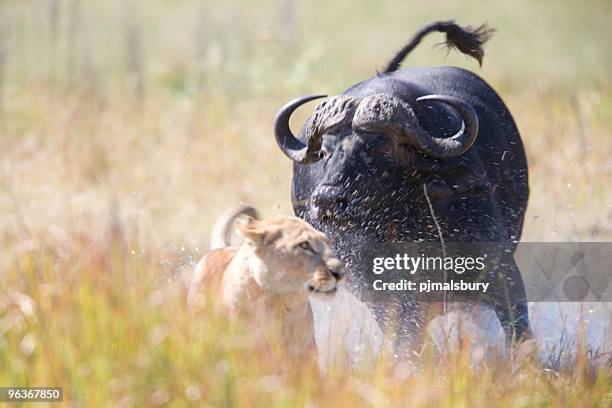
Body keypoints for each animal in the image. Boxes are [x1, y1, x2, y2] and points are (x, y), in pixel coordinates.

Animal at [272, 20, 532, 350]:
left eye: (381, 148)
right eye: (325, 151)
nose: (328, 199)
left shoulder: (500, 269)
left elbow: (517, 329)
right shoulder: (383, 296)